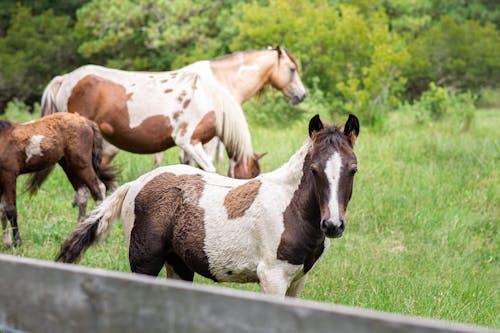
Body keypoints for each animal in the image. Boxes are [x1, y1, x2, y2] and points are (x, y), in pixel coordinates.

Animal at [0, 113, 114, 245]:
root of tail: (86, 121)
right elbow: (2, 208)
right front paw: (7, 243)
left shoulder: (9, 175)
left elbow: (10, 210)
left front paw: (17, 242)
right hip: (69, 165)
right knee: (82, 193)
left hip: (81, 164)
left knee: (98, 189)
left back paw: (100, 235)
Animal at [55, 114, 360, 296]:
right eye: (314, 170)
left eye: (353, 169)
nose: (333, 225)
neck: (290, 207)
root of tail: (135, 184)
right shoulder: (273, 277)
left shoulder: (298, 279)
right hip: (145, 261)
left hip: (178, 264)